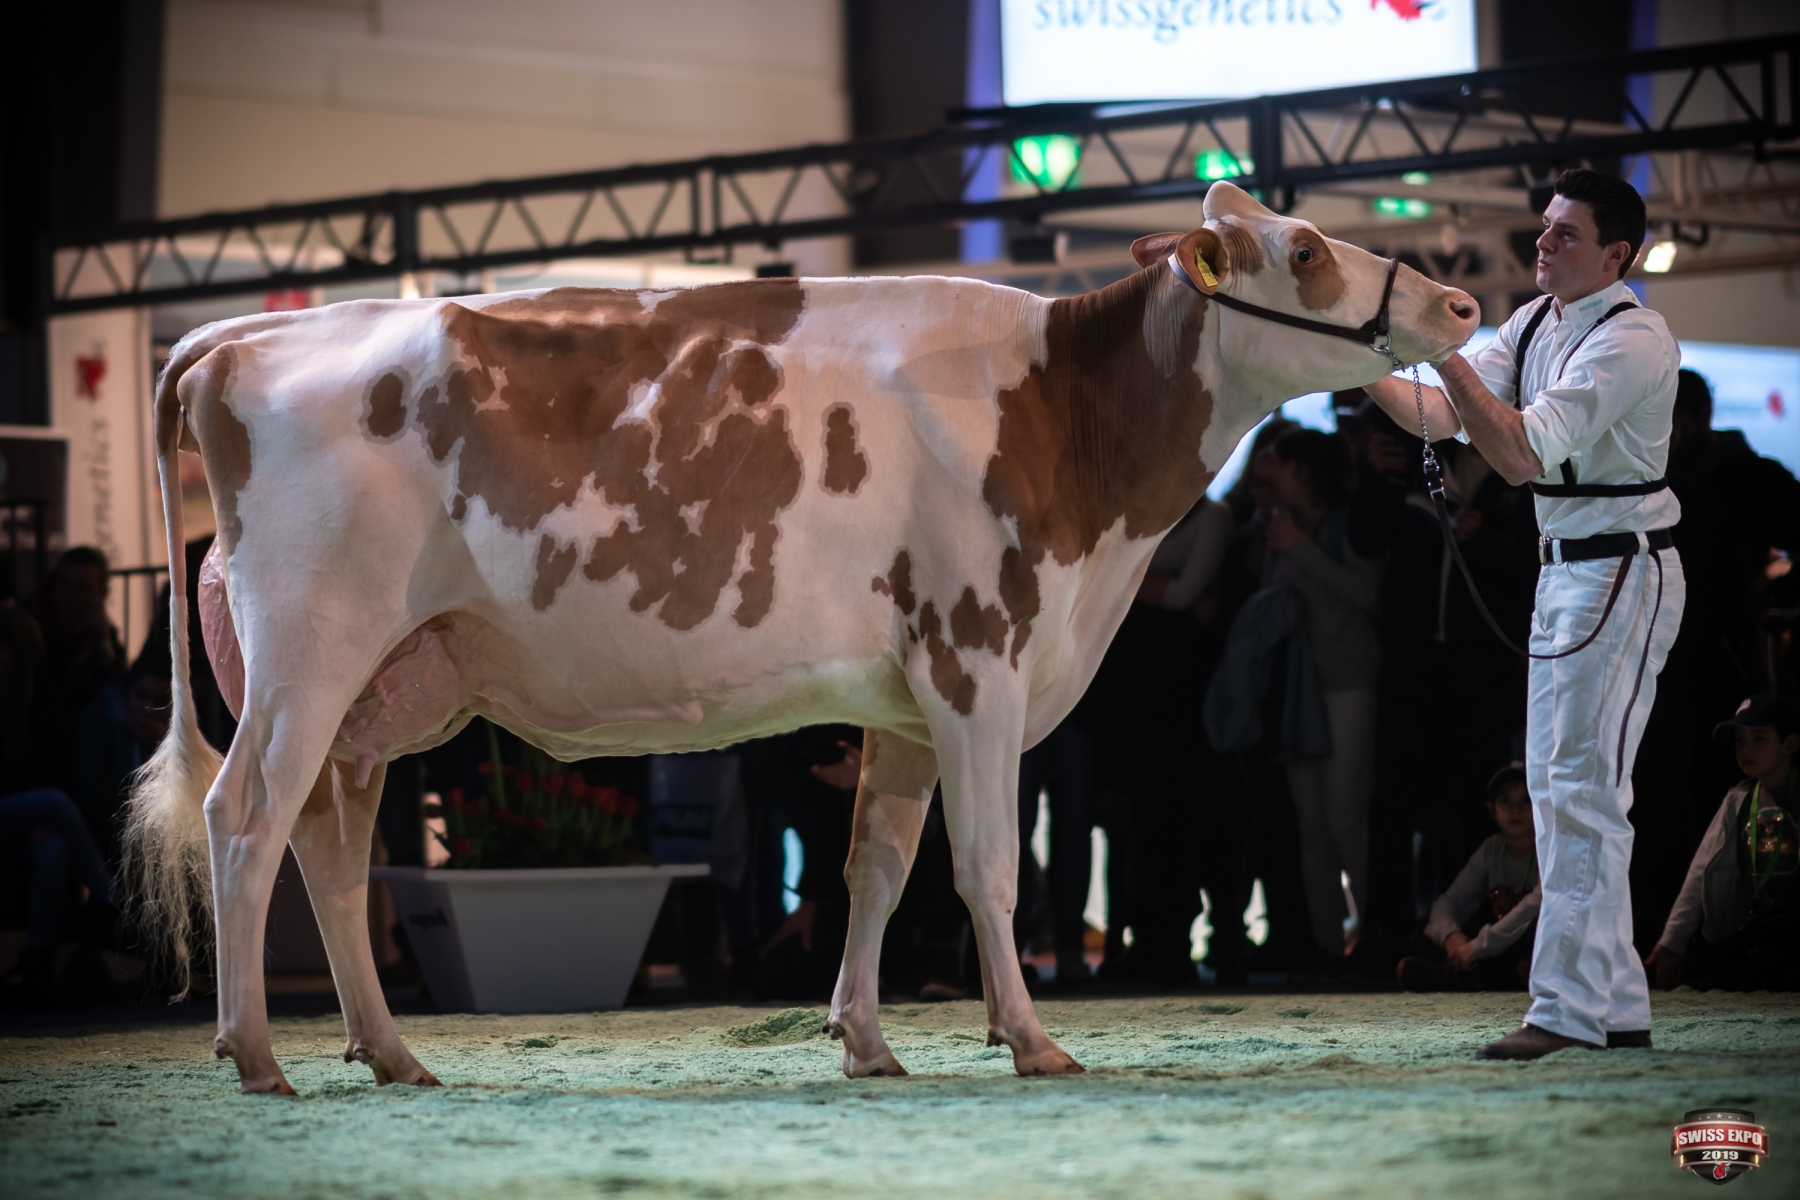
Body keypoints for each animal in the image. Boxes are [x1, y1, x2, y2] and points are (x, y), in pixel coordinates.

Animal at [127, 181, 1478, 1093]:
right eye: (1305, 250)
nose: (1462, 298)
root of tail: (238, 338)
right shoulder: (978, 658)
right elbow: (988, 863)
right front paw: (1032, 1038)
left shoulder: (910, 697)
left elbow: (874, 865)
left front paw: (867, 1040)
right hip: (310, 653)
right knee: (245, 819)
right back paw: (258, 1054)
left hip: (375, 693)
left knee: (330, 853)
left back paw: (392, 1052)